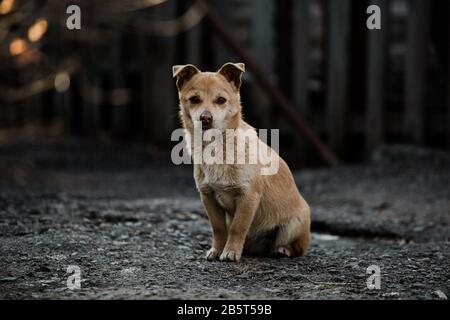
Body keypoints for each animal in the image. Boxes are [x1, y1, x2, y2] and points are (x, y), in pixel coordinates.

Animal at [171, 62, 312, 262]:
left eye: (221, 100)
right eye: (194, 99)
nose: (205, 118)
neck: (217, 147)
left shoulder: (248, 197)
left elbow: (237, 228)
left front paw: (230, 252)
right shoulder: (208, 197)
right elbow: (219, 228)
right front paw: (217, 250)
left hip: (293, 226)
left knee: (297, 247)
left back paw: (282, 250)